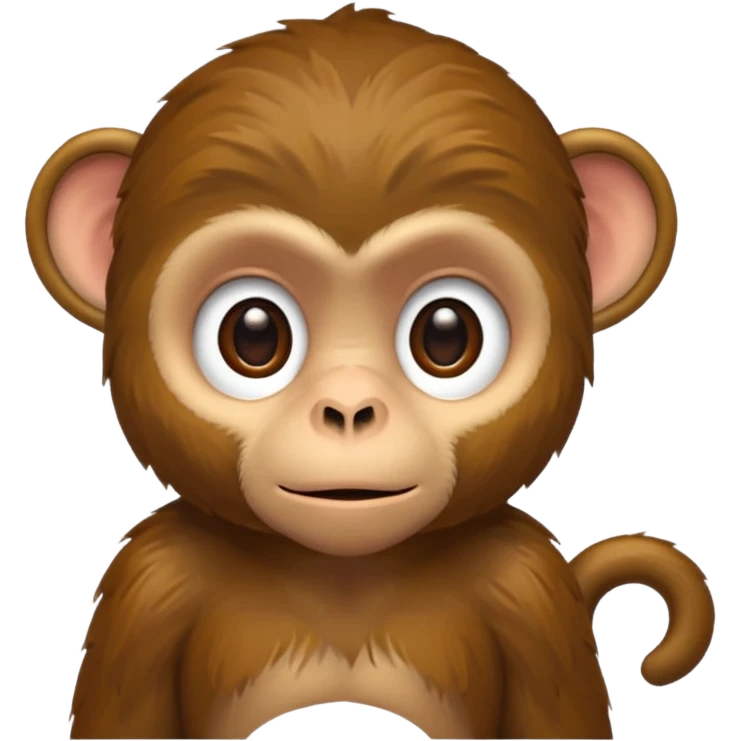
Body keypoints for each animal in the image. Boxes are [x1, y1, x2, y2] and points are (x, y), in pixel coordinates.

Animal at [25, 5, 714, 740]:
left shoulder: (526, 587)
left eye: (446, 334)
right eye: (253, 334)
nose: (350, 408)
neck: (344, 577)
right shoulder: (150, 586)